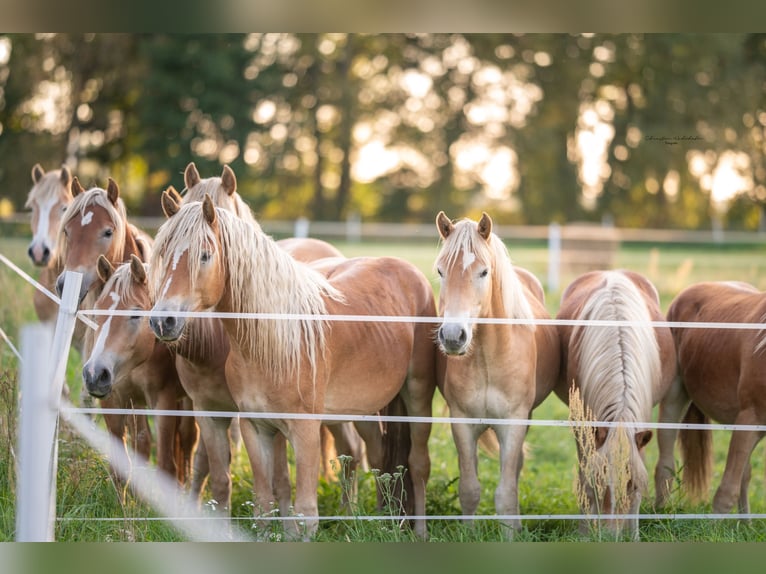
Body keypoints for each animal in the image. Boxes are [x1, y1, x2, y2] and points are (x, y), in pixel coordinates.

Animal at [83, 256, 198, 496]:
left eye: (136, 313)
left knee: (188, 438)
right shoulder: (115, 401)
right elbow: (120, 469)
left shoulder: (164, 402)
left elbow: (166, 466)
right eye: (97, 311)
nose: (94, 374)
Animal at [148, 197, 438, 540]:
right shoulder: (255, 427)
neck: (272, 343)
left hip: (417, 396)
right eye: (162, 254)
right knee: (378, 456)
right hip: (363, 409)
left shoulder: (305, 430)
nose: (163, 321)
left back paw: (419, 531)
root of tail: (410, 272)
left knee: (417, 463)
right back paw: (378, 520)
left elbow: (305, 513)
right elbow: (263, 504)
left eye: (205, 255)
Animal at [436, 212, 560, 540]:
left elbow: (506, 495)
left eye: (483, 272)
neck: (487, 360)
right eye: (440, 271)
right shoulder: (462, 423)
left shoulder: (513, 424)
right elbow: (469, 490)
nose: (452, 336)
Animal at [556, 270, 676, 540]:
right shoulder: (584, 430)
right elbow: (584, 480)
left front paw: (633, 535)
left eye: (631, 484)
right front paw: (584, 532)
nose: (611, 535)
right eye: (599, 481)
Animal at [656, 282, 766, 516]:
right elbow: (726, 493)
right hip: (674, 398)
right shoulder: (750, 419)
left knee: (744, 476)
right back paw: (660, 512)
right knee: (665, 461)